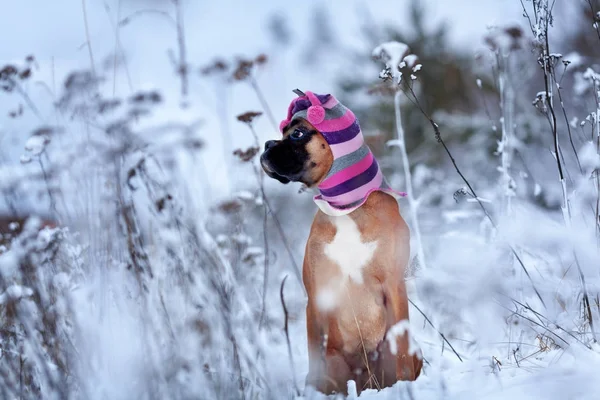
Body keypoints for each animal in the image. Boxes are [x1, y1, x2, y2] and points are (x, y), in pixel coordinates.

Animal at [258, 90, 422, 394]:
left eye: (297, 133)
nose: (267, 144)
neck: (346, 209)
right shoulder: (316, 297)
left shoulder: (394, 286)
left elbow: (402, 352)